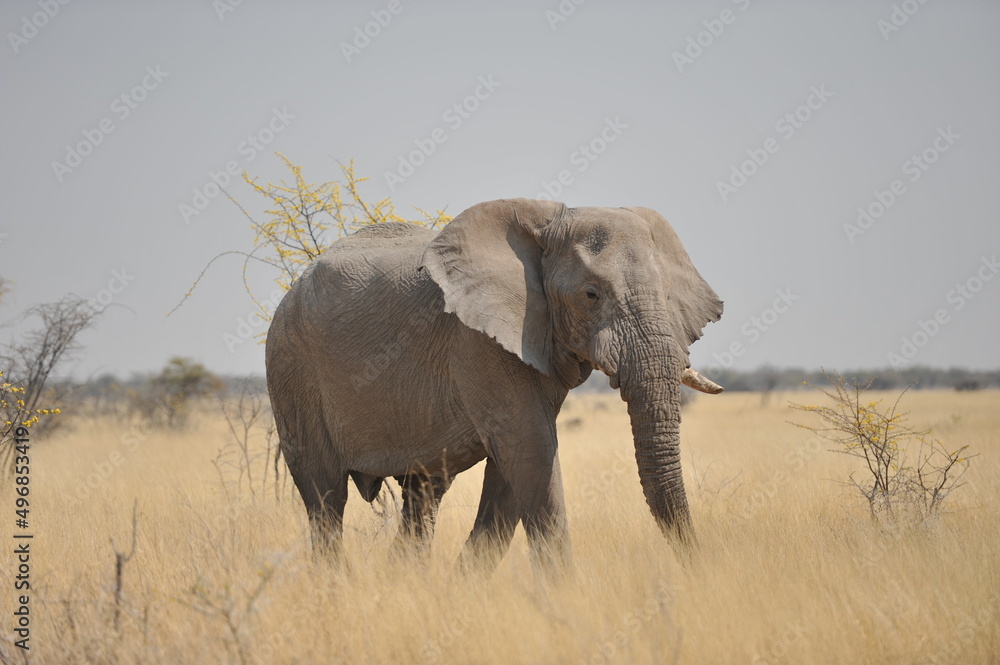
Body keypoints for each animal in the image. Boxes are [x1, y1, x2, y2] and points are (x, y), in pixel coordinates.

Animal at [265, 198, 723, 570]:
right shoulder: (479, 342)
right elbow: (532, 452)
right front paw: (565, 602)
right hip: (290, 367)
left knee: (422, 496)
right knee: (326, 499)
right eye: (591, 294)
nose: (698, 569)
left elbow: (514, 472)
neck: (551, 221)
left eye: (667, 296)